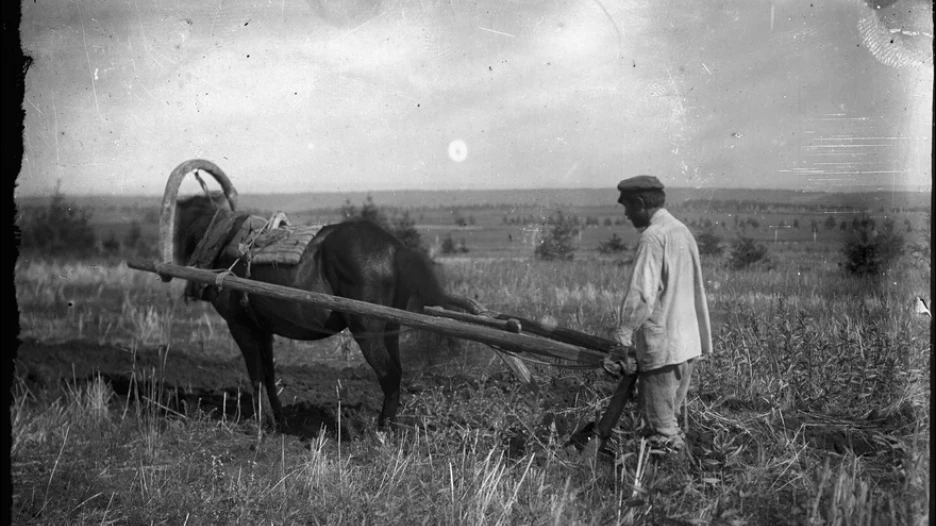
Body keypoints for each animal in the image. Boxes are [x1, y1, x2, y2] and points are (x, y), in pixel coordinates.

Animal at [164, 159, 508, 432]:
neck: (225, 242)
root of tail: (395, 248)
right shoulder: (262, 328)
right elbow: (269, 372)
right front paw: (278, 419)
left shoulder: (240, 326)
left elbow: (256, 373)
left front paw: (262, 423)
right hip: (390, 327)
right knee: (395, 372)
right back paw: (390, 425)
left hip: (367, 328)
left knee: (389, 373)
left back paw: (381, 431)